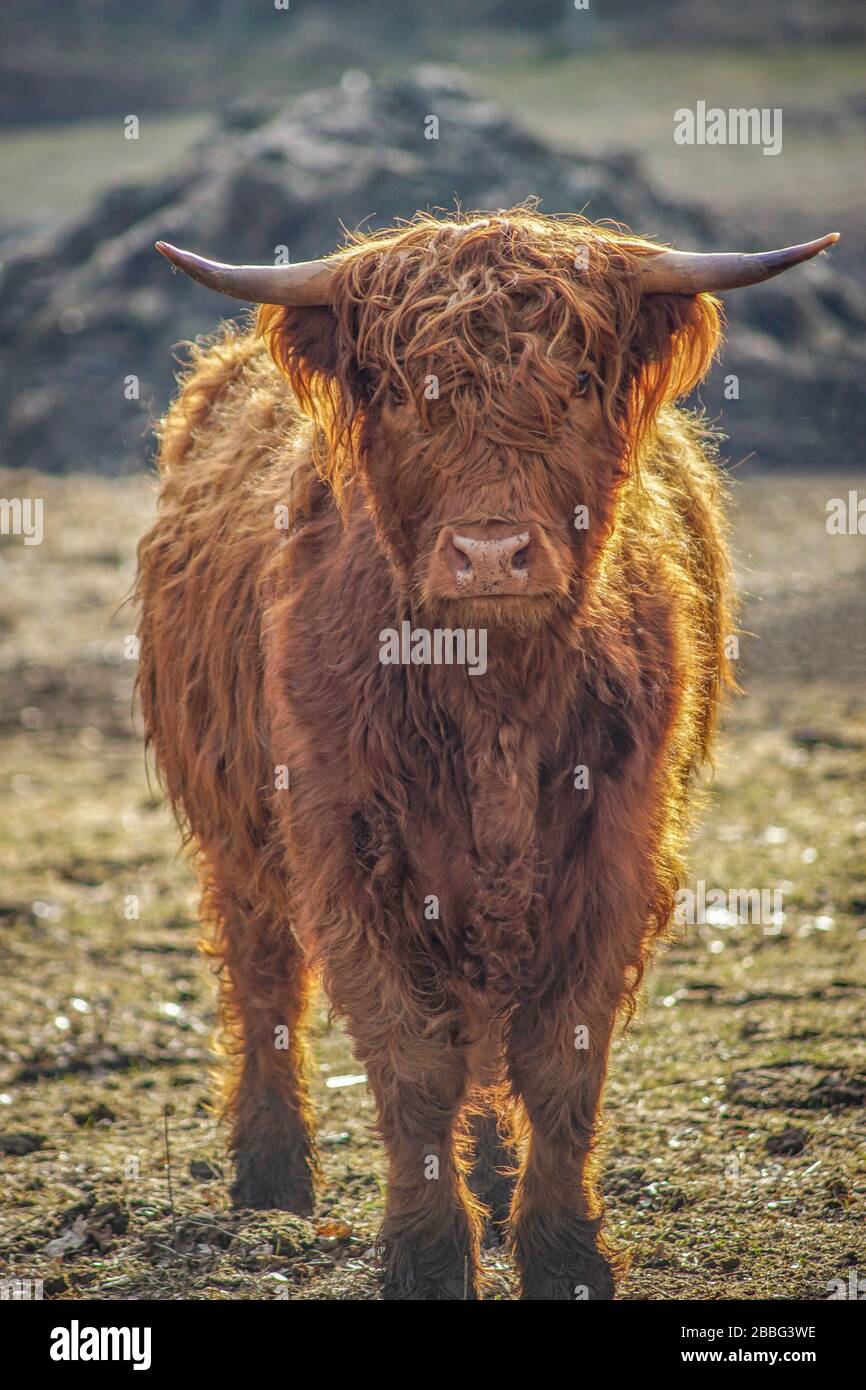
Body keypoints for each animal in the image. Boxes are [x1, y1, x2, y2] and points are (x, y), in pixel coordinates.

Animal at [136, 210, 837, 1299]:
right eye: (397, 391)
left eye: (578, 382)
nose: (492, 554)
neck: (490, 698)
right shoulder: (343, 848)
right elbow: (413, 1063)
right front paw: (428, 1254)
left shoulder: (614, 850)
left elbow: (556, 1059)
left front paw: (559, 1248)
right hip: (239, 830)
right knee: (263, 980)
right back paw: (272, 1171)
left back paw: (496, 1178)